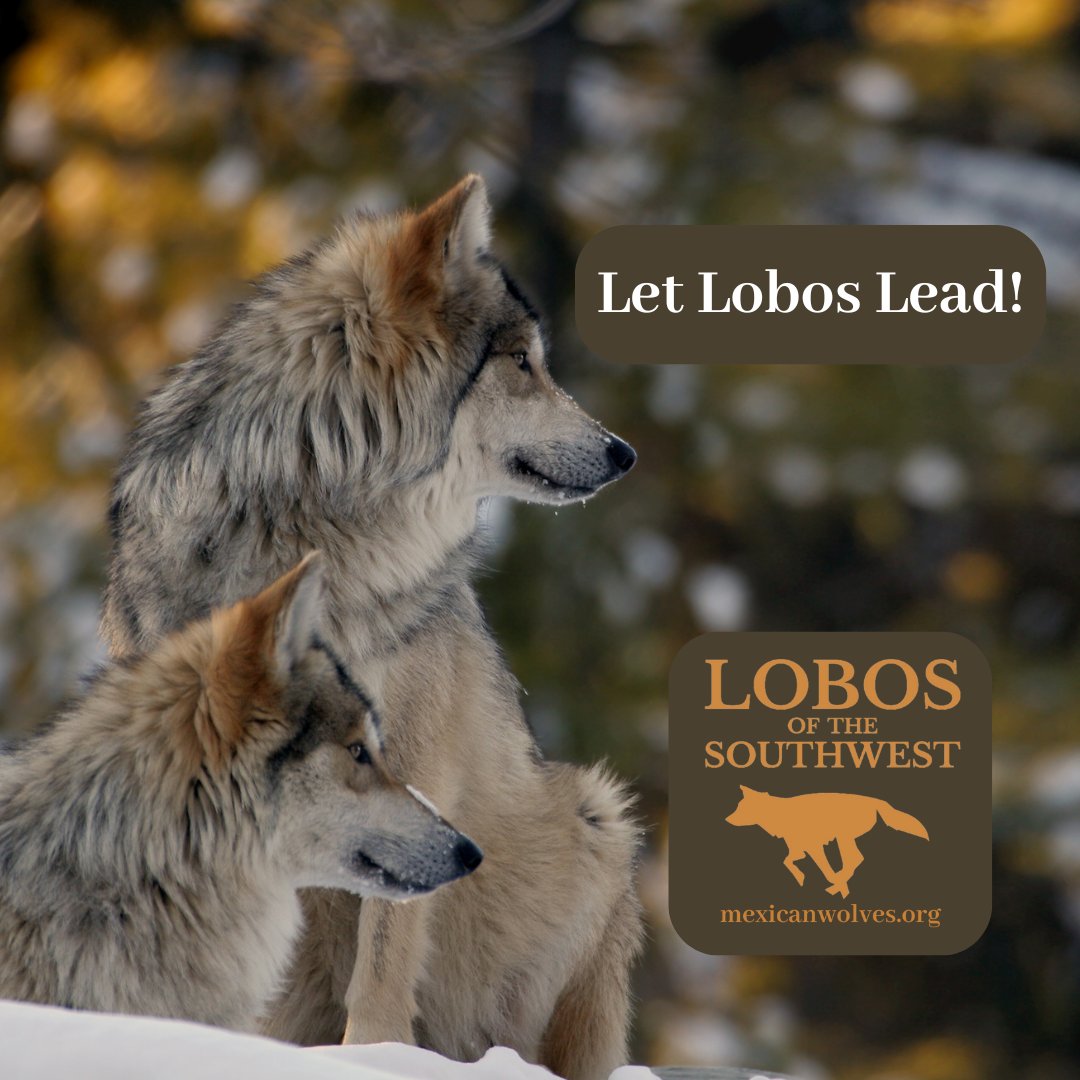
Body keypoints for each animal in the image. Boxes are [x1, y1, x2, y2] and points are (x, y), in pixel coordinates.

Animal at [100, 175, 642, 1079]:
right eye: (522, 363)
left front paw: (375, 1055)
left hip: (599, 820)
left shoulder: (412, 768)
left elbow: (386, 950)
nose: (623, 452)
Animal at [726, 786, 929, 898]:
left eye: (741, 807)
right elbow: (787, 861)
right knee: (855, 859)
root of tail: (876, 800)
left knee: (854, 859)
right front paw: (801, 878)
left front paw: (831, 882)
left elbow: (825, 870)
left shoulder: (814, 847)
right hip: (843, 839)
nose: (727, 820)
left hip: (843, 837)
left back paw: (836, 885)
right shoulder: (799, 850)